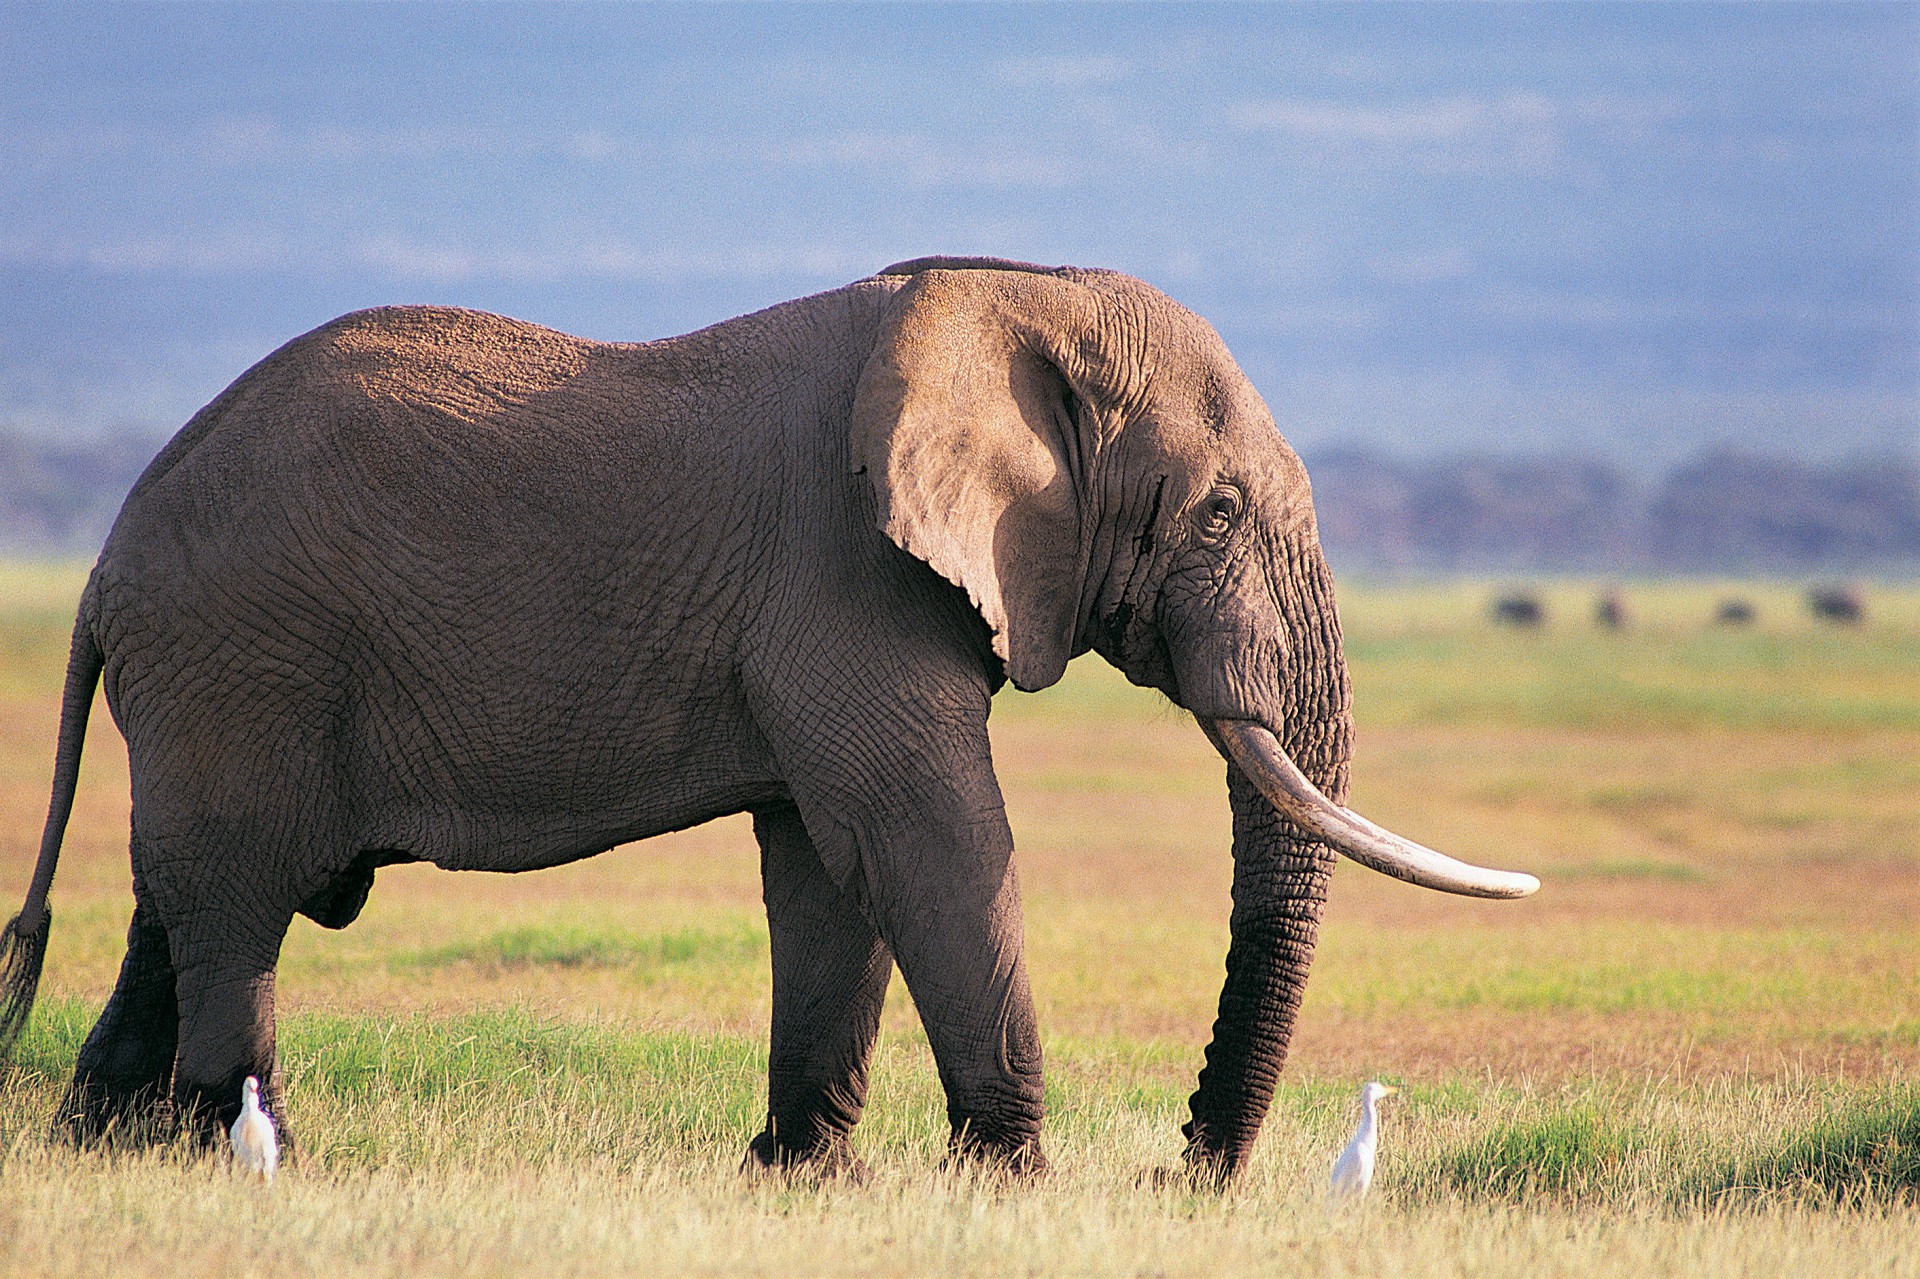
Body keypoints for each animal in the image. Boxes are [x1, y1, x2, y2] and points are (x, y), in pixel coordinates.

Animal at [0, 256, 1536, 1180]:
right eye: (1215, 515)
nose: (1184, 1168)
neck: (1012, 290)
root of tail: (103, 564)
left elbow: (829, 865)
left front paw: (811, 1177)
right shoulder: (843, 572)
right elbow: (931, 835)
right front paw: (1016, 1183)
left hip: (213, 683)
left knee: (176, 898)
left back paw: (103, 1145)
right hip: (241, 659)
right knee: (235, 902)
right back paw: (249, 1151)